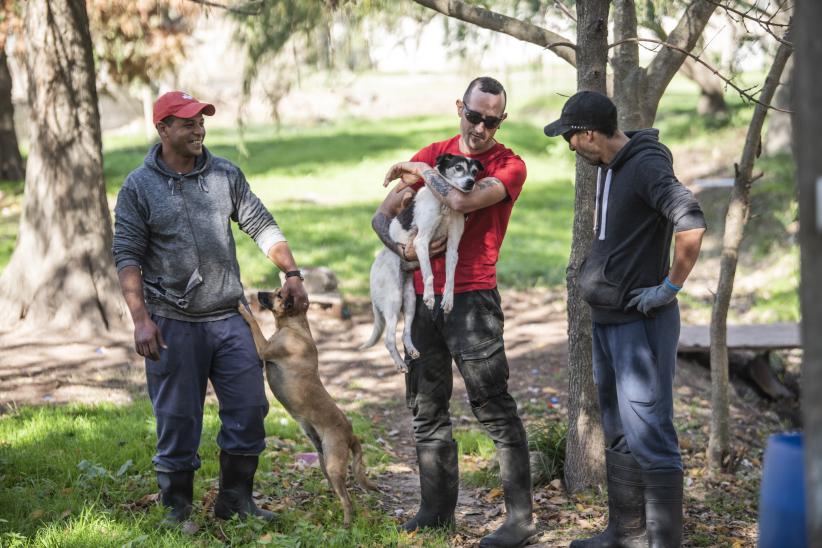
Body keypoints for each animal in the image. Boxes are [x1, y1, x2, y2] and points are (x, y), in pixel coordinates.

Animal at [238, 292, 380, 528]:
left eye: (278, 294)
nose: (258, 293)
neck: (294, 327)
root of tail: (351, 434)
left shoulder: (264, 348)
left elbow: (254, 323)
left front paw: (243, 310)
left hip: (333, 465)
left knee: (348, 500)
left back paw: (346, 524)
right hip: (324, 461)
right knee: (339, 492)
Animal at [360, 152, 482, 370]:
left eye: (475, 172)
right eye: (458, 167)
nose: (470, 183)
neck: (444, 203)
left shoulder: (452, 248)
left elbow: (450, 278)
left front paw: (448, 300)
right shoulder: (421, 241)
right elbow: (429, 275)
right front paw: (431, 297)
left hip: (408, 302)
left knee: (404, 333)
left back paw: (412, 350)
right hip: (393, 301)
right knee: (388, 339)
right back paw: (400, 363)